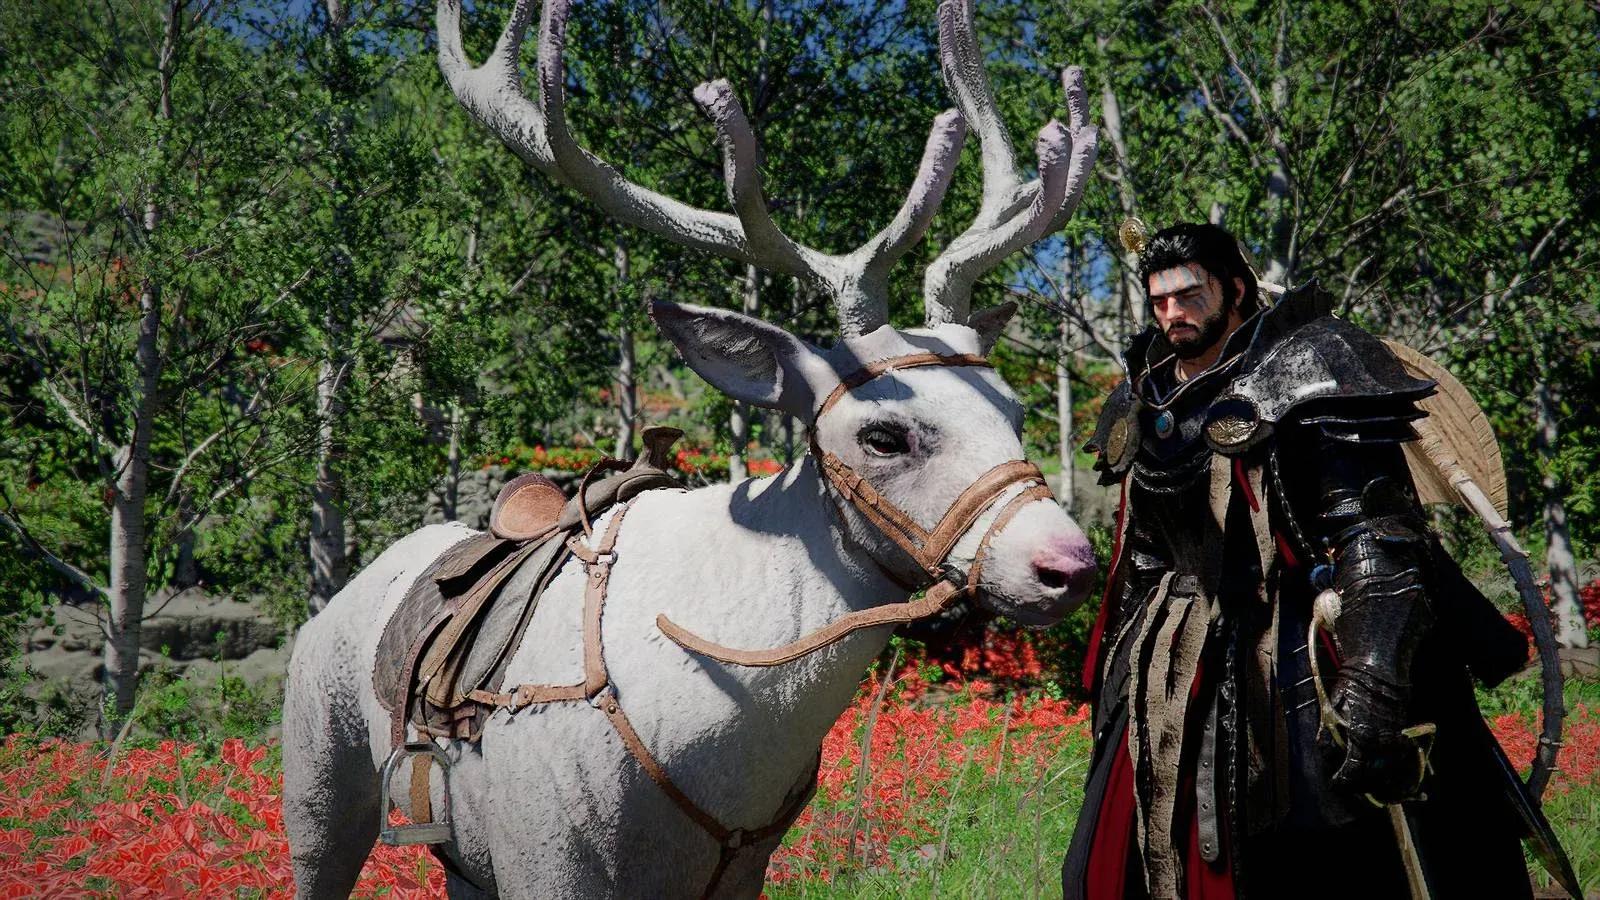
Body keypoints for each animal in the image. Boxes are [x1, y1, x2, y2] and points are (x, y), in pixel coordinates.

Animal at [281, 1, 1100, 897]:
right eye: (884, 435)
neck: (722, 736)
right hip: (318, 786)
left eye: (1014, 411)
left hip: (462, 857)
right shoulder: (547, 858)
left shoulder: (743, 867)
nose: (1068, 564)